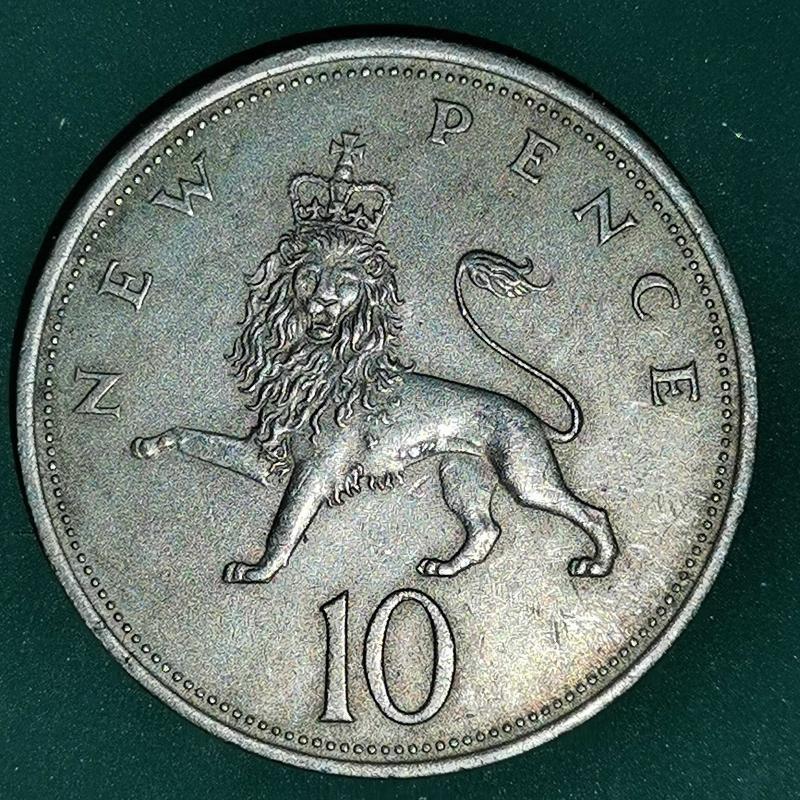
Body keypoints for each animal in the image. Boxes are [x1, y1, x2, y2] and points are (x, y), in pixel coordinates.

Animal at [131, 225, 618, 584]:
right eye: (309, 276)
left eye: (347, 283)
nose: (323, 304)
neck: (315, 367)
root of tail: (531, 416)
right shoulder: (265, 456)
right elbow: (192, 437)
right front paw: (153, 444)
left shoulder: (318, 468)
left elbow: (285, 524)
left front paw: (258, 572)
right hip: (462, 475)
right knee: (486, 530)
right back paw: (446, 568)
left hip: (525, 477)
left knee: (592, 511)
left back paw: (597, 564)